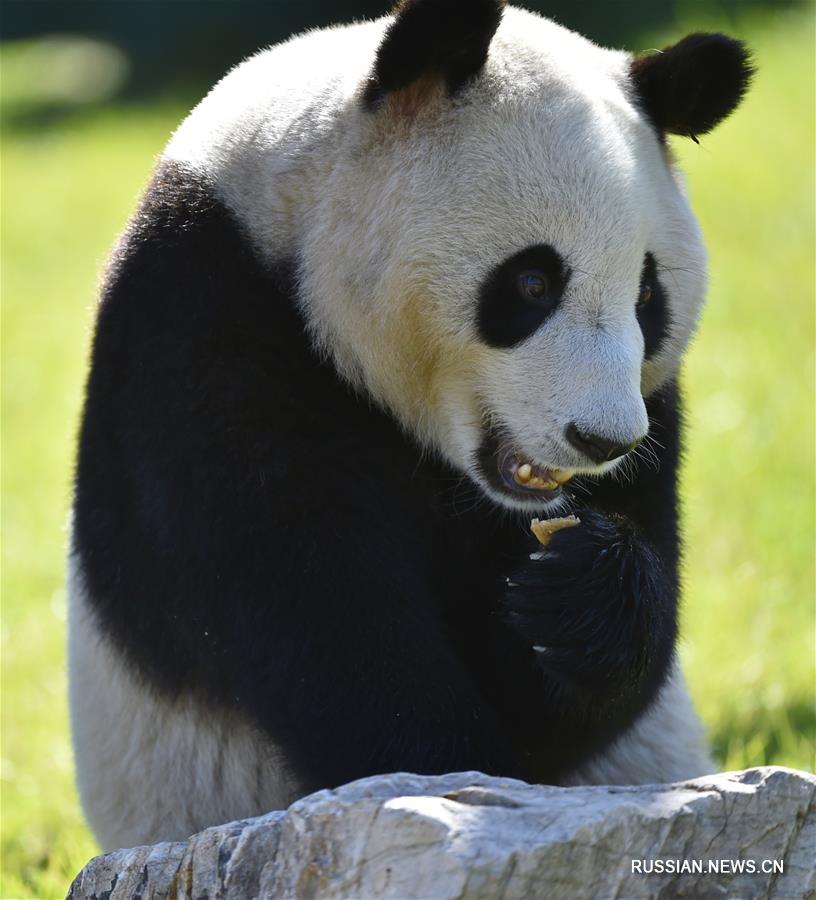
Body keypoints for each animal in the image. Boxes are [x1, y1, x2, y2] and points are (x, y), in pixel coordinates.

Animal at [68, 0, 752, 852]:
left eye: (647, 297)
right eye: (532, 282)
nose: (603, 441)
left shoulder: (656, 410)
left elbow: (594, 694)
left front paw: (583, 591)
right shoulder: (202, 331)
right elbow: (322, 617)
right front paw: (443, 774)